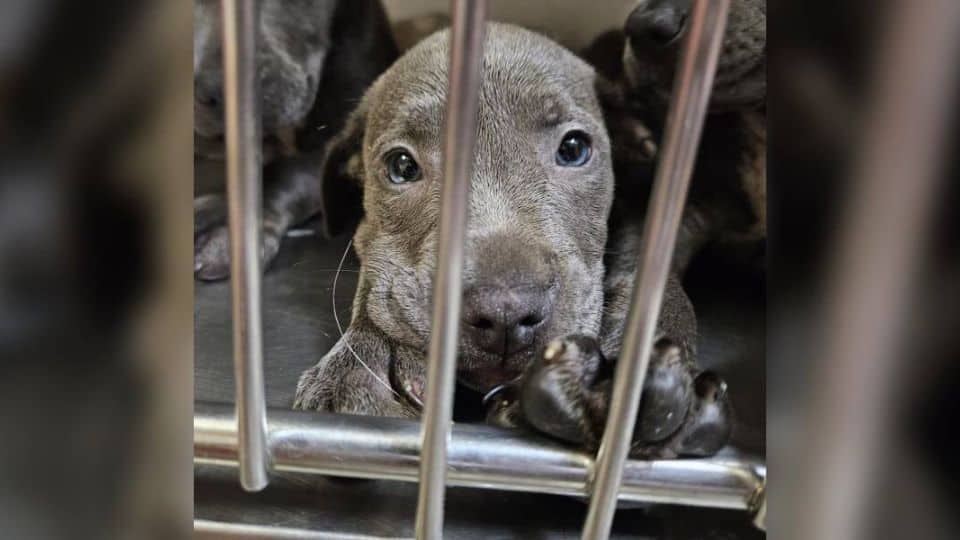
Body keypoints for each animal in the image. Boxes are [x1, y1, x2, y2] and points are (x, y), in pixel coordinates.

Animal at [294, 23, 732, 459]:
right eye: (401, 166)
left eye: (574, 148)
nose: (505, 314)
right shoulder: (373, 238)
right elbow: (378, 271)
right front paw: (366, 362)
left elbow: (653, 276)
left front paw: (632, 375)